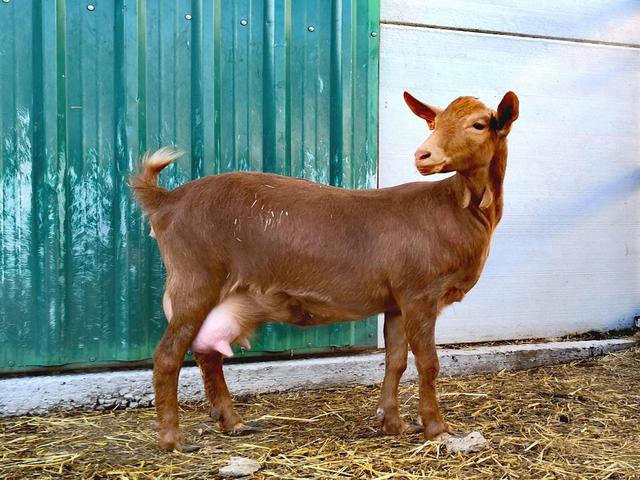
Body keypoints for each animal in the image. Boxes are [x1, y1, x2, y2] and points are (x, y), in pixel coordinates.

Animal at [131, 91, 519, 451]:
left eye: (479, 124)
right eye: (434, 123)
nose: (423, 155)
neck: (458, 207)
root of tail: (168, 201)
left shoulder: (397, 300)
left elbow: (395, 361)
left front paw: (393, 424)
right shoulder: (420, 293)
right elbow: (428, 363)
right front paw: (437, 429)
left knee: (207, 353)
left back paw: (233, 422)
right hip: (196, 278)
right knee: (168, 356)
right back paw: (173, 439)